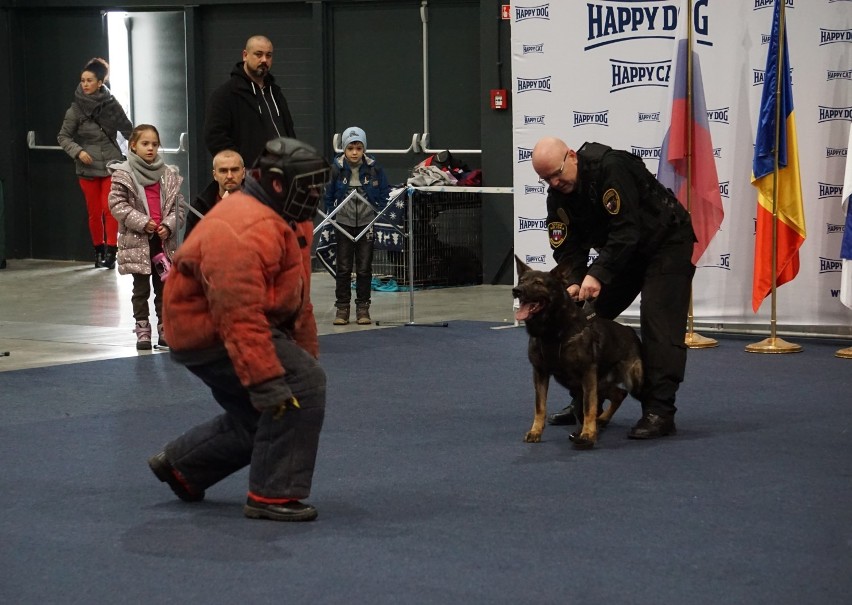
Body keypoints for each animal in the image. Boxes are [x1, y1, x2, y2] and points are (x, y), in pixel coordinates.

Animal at [512, 255, 640, 448]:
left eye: (538, 283)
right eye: (522, 281)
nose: (516, 290)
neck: (553, 331)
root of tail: (630, 330)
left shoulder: (587, 374)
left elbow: (588, 407)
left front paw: (587, 434)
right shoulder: (540, 373)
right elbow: (540, 406)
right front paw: (535, 431)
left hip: (624, 381)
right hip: (597, 384)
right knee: (619, 394)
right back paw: (602, 420)